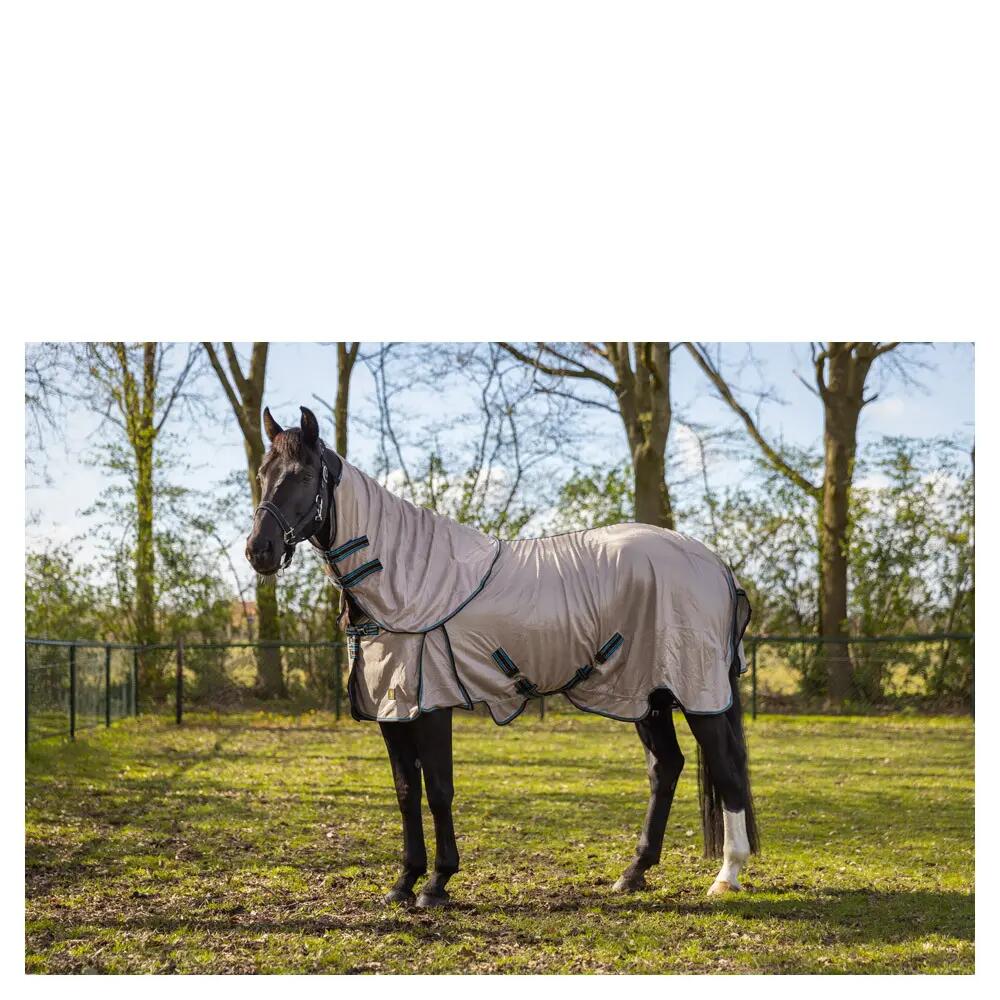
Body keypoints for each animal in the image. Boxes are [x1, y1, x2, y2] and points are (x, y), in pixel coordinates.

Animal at [246, 405, 759, 908]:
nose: (259, 551)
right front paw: (404, 881)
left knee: (728, 768)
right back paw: (634, 873)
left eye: (302, 474)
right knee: (665, 768)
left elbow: (439, 790)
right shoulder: (392, 708)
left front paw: (437, 883)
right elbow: (406, 791)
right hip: (645, 695)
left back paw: (726, 876)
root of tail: (715, 563)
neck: (402, 577)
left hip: (698, 694)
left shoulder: (431, 705)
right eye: (263, 473)